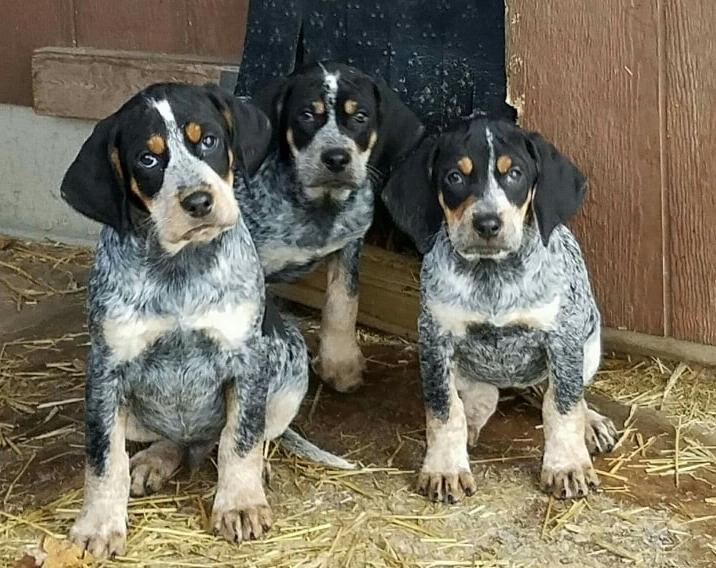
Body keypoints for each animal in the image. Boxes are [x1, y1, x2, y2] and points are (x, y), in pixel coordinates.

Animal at [60, 82, 352, 556]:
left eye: (209, 141)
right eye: (148, 159)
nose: (198, 201)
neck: (180, 269)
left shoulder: (247, 359)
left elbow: (241, 439)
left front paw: (240, 504)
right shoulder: (106, 370)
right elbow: (104, 460)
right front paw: (99, 525)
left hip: (288, 368)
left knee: (251, 434)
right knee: (170, 442)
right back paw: (154, 460)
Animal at [239, 61, 426, 390]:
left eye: (360, 117)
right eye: (306, 115)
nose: (336, 158)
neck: (317, 207)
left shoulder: (351, 242)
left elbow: (343, 300)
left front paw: (339, 362)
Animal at [384, 118, 620, 502]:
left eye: (515, 175)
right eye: (454, 177)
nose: (488, 224)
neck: (492, 275)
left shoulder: (563, 338)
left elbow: (563, 405)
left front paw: (566, 465)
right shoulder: (435, 339)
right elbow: (444, 410)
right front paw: (445, 467)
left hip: (590, 345)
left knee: (563, 391)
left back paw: (591, 422)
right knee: (478, 398)